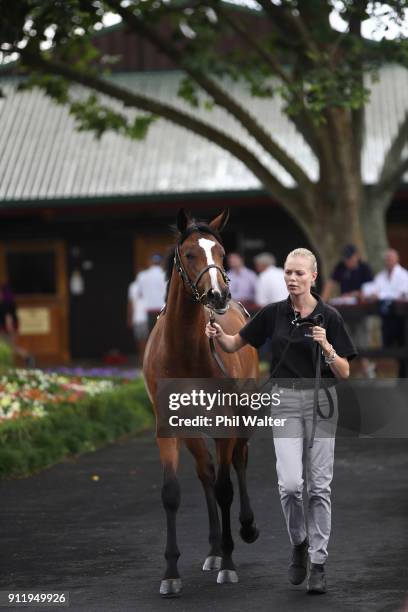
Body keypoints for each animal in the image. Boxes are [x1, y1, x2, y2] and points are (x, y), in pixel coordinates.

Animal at [143, 209, 258, 596]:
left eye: (222, 253)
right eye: (190, 254)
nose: (218, 295)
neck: (184, 352)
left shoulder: (225, 422)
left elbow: (225, 489)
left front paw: (230, 563)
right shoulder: (170, 426)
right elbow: (172, 493)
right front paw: (170, 573)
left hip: (243, 418)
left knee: (238, 463)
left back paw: (244, 529)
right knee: (206, 472)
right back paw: (213, 550)